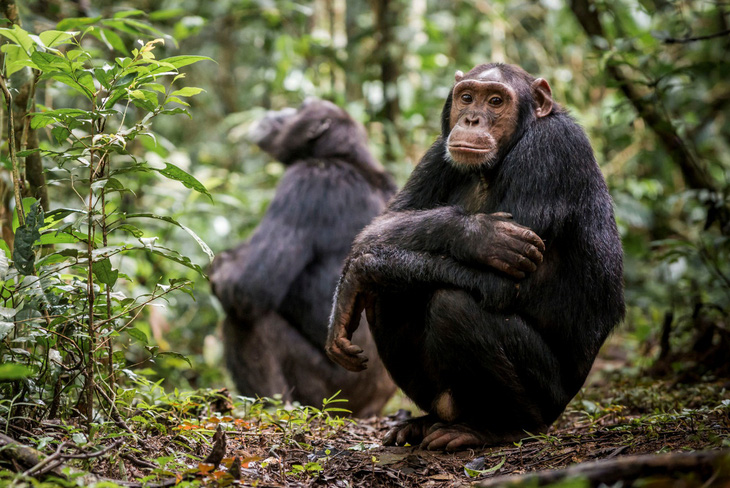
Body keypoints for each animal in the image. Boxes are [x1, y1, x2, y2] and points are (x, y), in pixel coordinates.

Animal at [210, 98, 398, 416]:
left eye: (300, 107)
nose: (280, 111)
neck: (348, 159)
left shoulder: (307, 181)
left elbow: (246, 286)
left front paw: (220, 266)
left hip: (331, 395)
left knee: (249, 321)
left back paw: (274, 407)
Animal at [328, 63, 624, 450]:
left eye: (496, 101)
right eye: (467, 97)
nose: (471, 119)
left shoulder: (551, 150)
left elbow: (505, 285)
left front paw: (361, 270)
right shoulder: (437, 152)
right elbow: (384, 223)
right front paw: (478, 236)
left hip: (549, 400)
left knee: (454, 306)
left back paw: (499, 427)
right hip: (445, 398)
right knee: (388, 294)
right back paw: (423, 423)